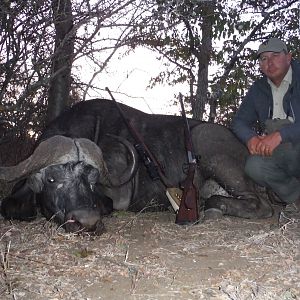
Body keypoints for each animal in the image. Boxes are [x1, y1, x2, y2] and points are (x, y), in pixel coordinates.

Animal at [0, 99, 272, 234]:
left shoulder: (116, 198)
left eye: (91, 180)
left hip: (207, 142)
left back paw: (213, 208)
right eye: (52, 179)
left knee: (260, 205)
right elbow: (10, 205)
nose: (86, 221)